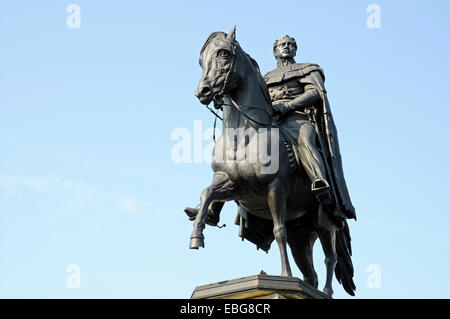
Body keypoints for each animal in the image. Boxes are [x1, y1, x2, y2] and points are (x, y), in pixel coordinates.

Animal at [187, 27, 356, 298]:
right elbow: (206, 194)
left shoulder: (275, 188)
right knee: (310, 273)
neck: (244, 136)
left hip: (325, 222)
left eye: (223, 53)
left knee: (330, 258)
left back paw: (327, 291)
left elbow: (278, 231)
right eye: (202, 61)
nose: (202, 92)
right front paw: (196, 236)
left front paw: (285, 276)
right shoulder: (229, 184)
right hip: (302, 234)